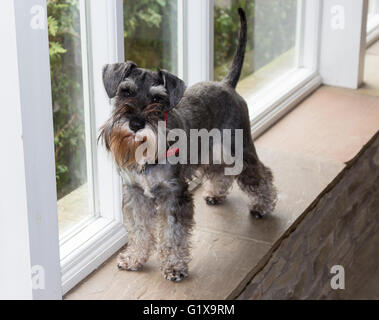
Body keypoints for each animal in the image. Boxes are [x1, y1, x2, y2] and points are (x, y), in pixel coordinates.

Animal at [99, 8, 278, 282]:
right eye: (125, 92)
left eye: (157, 98)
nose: (136, 123)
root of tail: (226, 84)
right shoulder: (135, 193)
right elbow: (139, 229)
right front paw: (134, 258)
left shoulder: (175, 194)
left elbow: (173, 233)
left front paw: (174, 267)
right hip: (212, 150)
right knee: (219, 171)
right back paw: (216, 194)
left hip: (239, 148)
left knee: (259, 173)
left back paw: (262, 206)